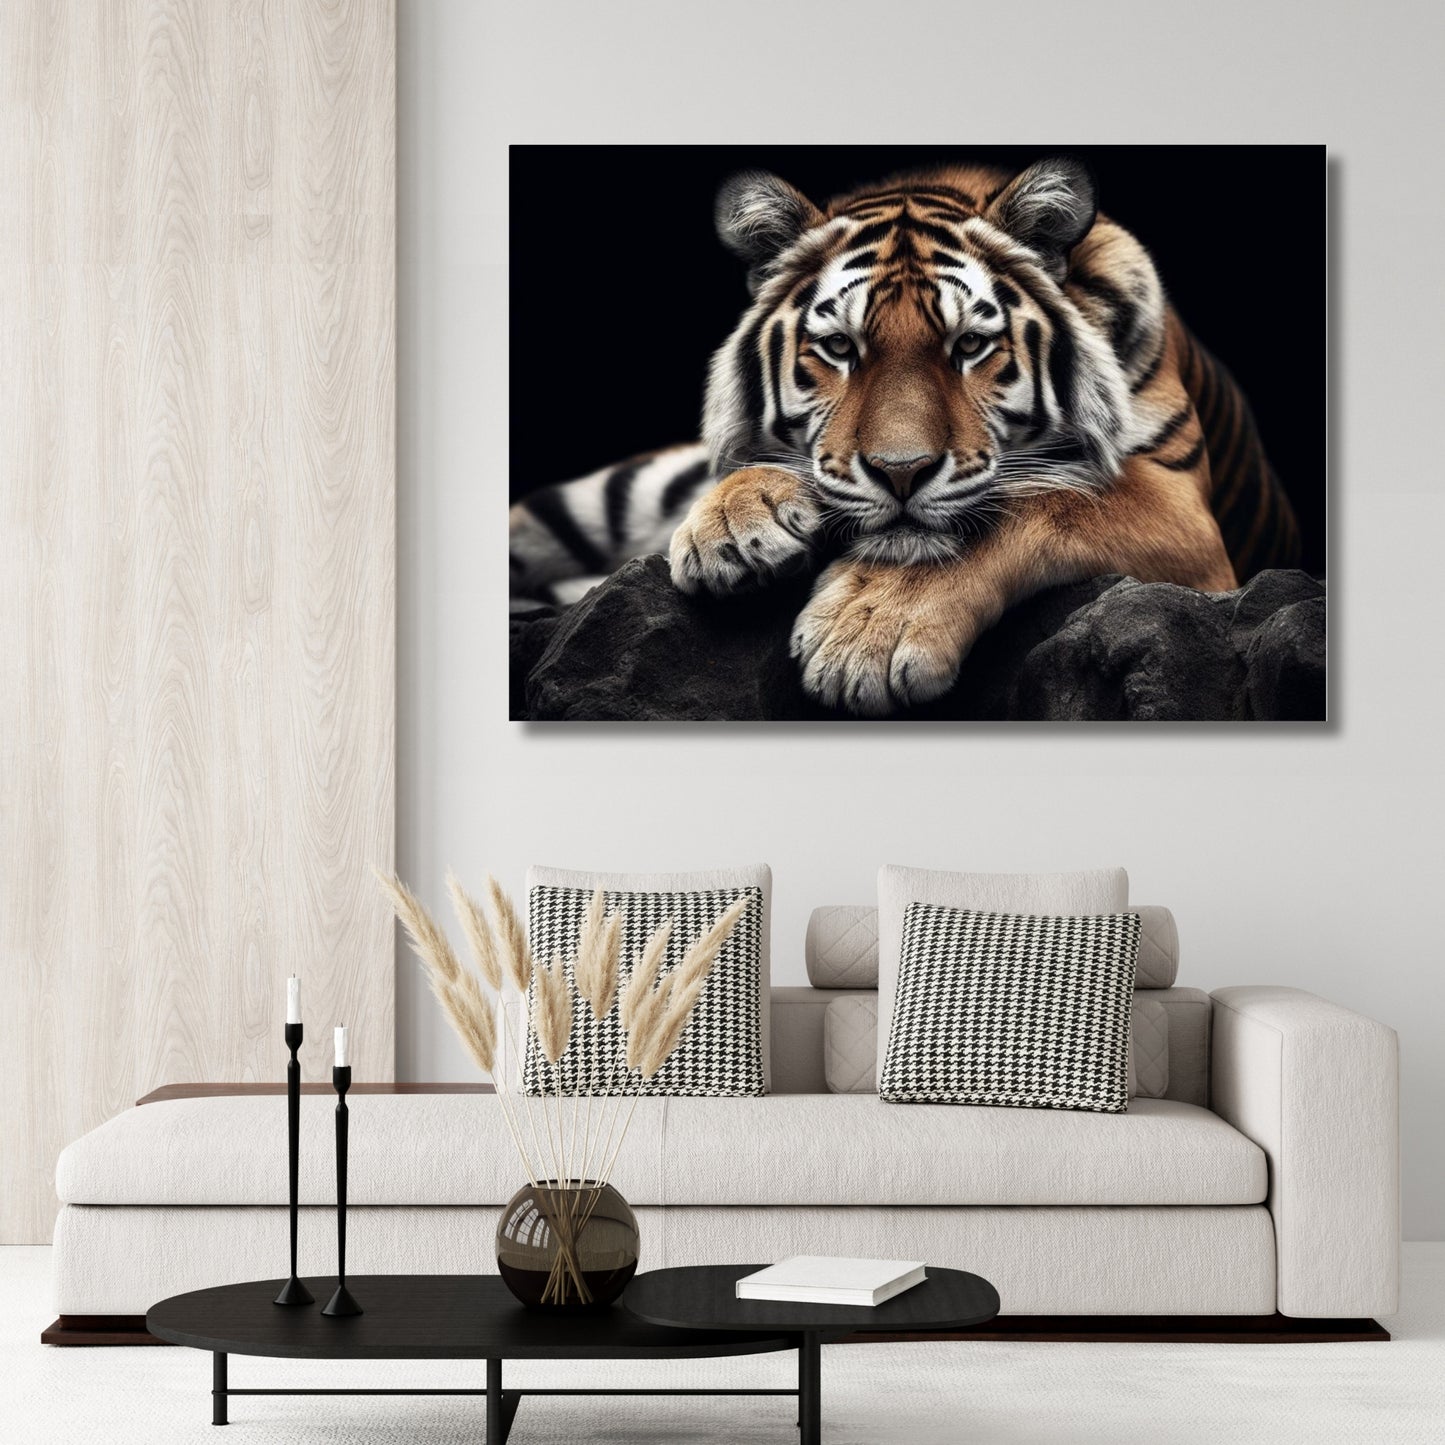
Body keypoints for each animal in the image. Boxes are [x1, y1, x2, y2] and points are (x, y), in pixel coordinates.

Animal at [509, 157, 1302, 716]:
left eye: (970, 346)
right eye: (838, 348)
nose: (900, 471)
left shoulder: (1181, 509)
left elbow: (1037, 503)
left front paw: (864, 636)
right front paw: (731, 525)